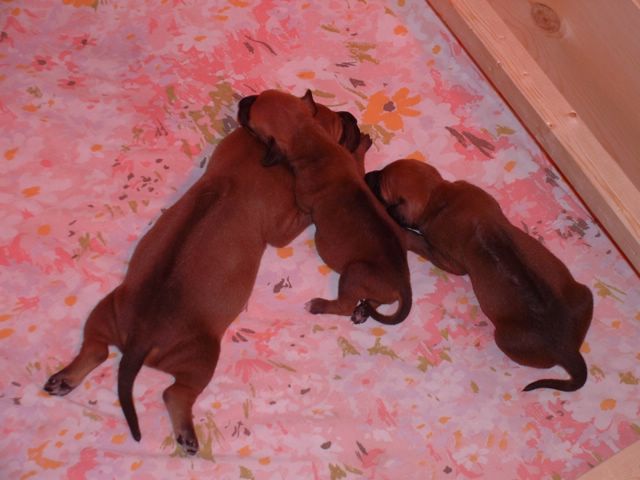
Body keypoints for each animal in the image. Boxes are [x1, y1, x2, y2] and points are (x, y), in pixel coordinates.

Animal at [43, 97, 371, 456]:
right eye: (340, 125)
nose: (352, 117)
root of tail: (139, 340)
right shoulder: (284, 227)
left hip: (106, 310)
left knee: (95, 348)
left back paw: (64, 379)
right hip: (202, 357)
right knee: (174, 393)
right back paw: (186, 433)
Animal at [238, 89, 412, 325]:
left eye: (251, 122)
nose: (241, 102)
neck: (314, 140)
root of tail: (403, 283)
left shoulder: (303, 200)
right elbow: (358, 161)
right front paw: (362, 144)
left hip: (353, 274)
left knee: (345, 306)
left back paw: (319, 305)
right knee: (374, 302)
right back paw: (362, 310)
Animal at [365, 159, 593, 391]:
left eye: (380, 186)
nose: (366, 175)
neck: (440, 199)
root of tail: (568, 350)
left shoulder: (448, 260)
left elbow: (418, 241)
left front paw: (402, 231)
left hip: (504, 339)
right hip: (585, 294)